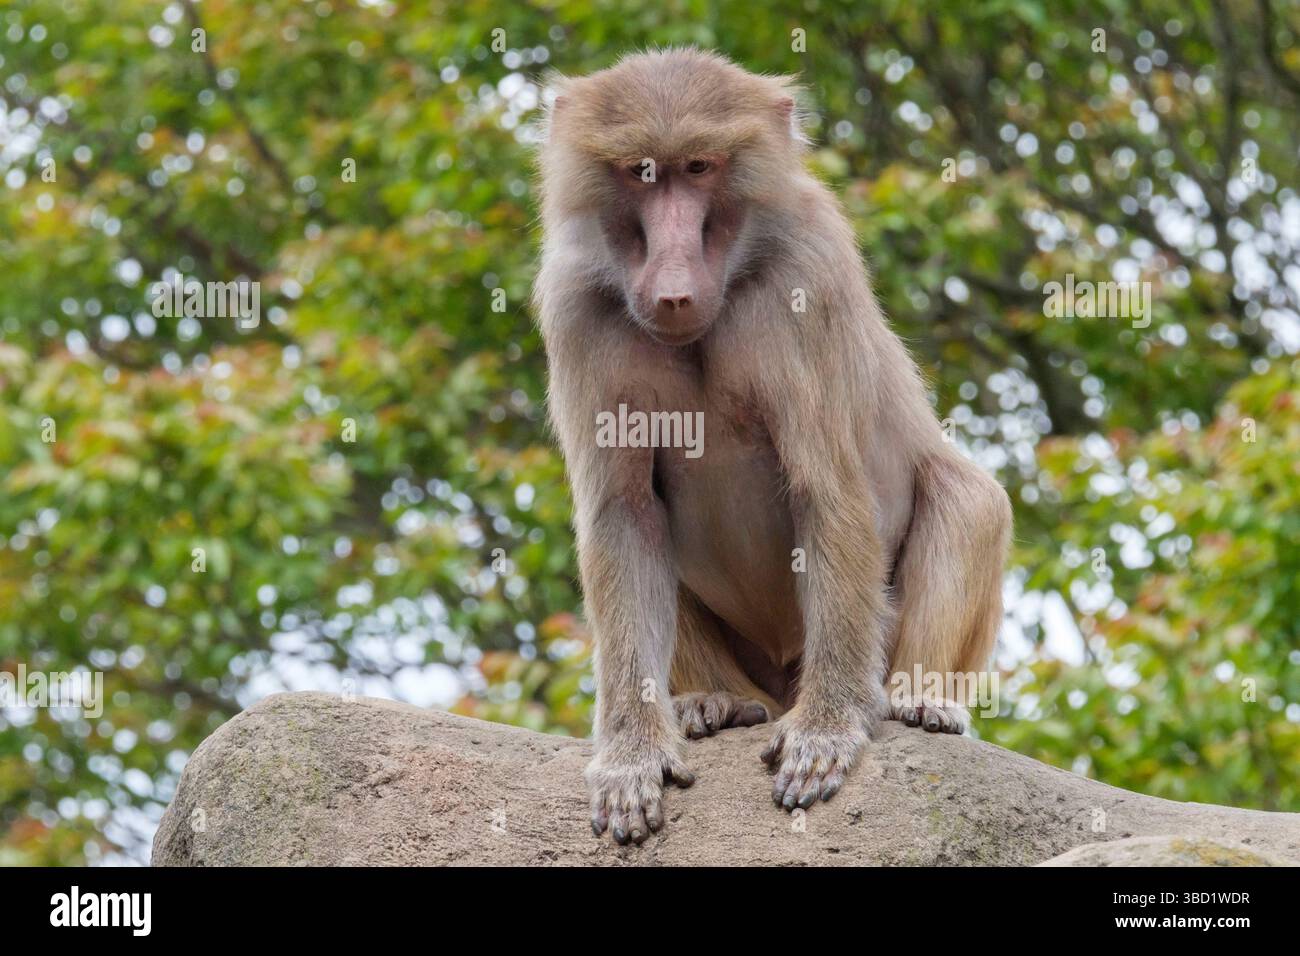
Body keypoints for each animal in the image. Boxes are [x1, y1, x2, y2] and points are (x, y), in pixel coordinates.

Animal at [533, 49, 1012, 846]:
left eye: (700, 167)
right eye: (641, 172)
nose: (672, 291)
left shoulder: (807, 275)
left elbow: (828, 489)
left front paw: (826, 732)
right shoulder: (575, 304)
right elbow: (626, 516)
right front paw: (631, 758)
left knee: (971, 498)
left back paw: (918, 702)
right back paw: (714, 703)